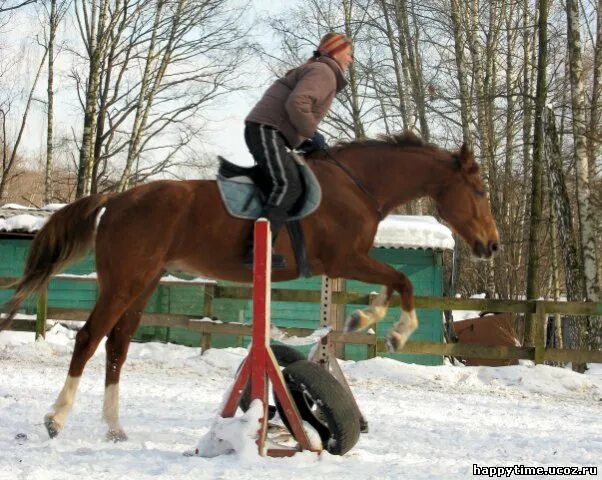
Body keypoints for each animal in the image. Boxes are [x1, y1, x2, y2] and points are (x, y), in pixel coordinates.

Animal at [1, 130, 496, 438]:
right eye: (479, 191)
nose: (490, 246)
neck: (357, 187)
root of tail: (118, 197)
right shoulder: (345, 258)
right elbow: (402, 281)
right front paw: (396, 331)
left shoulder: (349, 262)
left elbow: (392, 285)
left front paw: (364, 319)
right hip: (125, 280)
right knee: (89, 337)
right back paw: (56, 419)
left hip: (143, 283)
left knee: (117, 345)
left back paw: (114, 427)